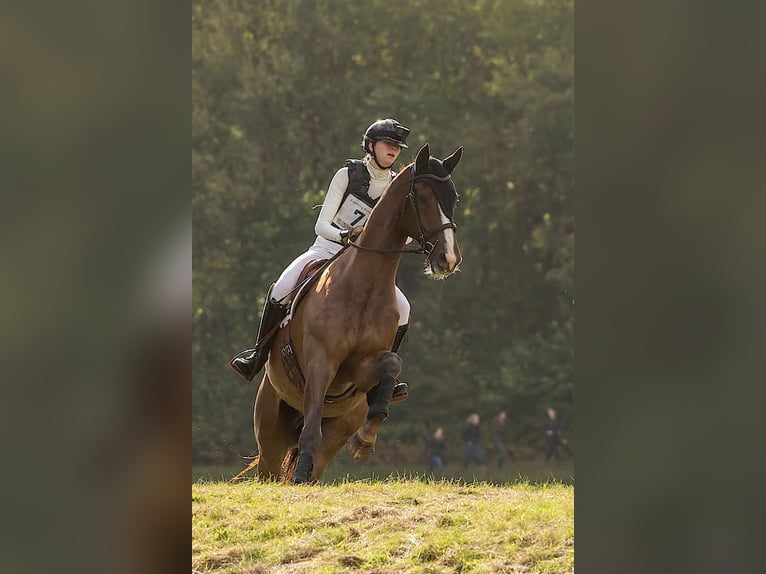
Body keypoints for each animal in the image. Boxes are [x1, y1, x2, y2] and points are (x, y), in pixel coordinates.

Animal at [252, 142, 462, 484]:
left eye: (454, 198)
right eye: (424, 198)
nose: (449, 259)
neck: (364, 286)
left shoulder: (357, 372)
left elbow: (391, 364)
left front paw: (366, 439)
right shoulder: (322, 363)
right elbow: (310, 430)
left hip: (338, 427)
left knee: (319, 454)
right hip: (270, 429)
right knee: (273, 463)